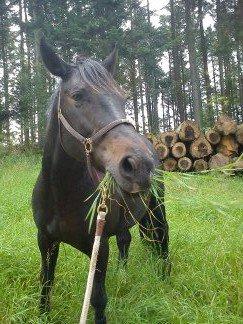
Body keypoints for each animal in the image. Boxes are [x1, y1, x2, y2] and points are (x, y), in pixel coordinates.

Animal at [31, 38, 169, 324]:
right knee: (125, 240)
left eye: (123, 97)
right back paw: (123, 275)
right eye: (77, 95)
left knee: (162, 240)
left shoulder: (99, 246)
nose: (140, 165)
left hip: (156, 210)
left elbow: (97, 298)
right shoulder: (46, 241)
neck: (62, 195)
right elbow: (46, 285)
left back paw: (164, 279)